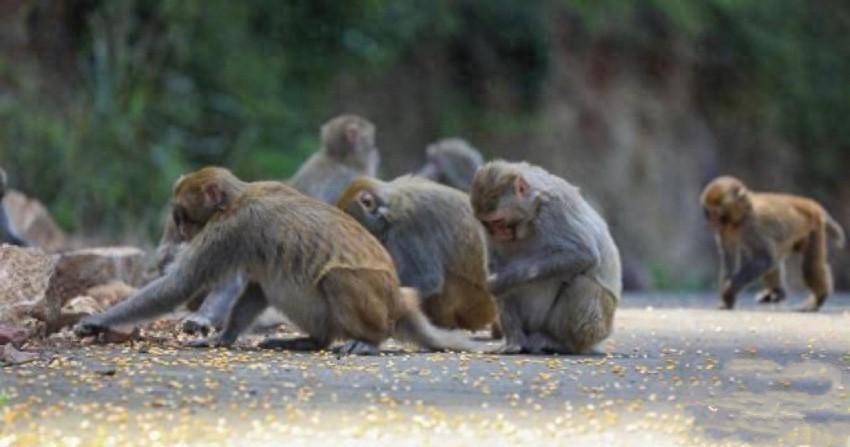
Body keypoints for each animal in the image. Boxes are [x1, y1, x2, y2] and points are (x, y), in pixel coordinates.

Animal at [74, 166, 476, 356]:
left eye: (182, 215)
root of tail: (398, 300)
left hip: (375, 305)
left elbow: (180, 285)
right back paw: (312, 341)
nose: (182, 230)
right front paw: (224, 336)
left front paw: (98, 321)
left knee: (336, 278)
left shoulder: (230, 231)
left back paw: (369, 341)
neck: (234, 199)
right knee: (276, 284)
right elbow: (254, 287)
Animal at [468, 159, 620, 356]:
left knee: (582, 284)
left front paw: (501, 281)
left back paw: (559, 343)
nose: (497, 233)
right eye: (487, 223)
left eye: (498, 221)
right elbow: (496, 266)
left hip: (597, 327)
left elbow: (582, 253)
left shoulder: (555, 208)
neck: (532, 212)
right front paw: (513, 341)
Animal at [700, 175, 844, 312]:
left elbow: (764, 258)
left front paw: (729, 291)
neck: (742, 217)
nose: (713, 222)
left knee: (809, 267)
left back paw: (818, 299)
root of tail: (809, 203)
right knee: (775, 258)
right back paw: (778, 293)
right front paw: (727, 300)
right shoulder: (725, 231)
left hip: (815, 227)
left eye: (717, 213)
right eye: (709, 212)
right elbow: (730, 258)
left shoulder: (752, 225)